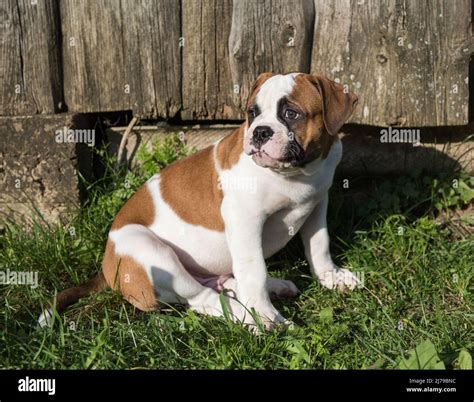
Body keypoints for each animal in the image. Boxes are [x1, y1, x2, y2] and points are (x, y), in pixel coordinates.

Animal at [39, 72, 360, 330]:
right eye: (252, 112)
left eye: (292, 114)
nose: (259, 131)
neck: (297, 173)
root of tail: (106, 267)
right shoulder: (244, 219)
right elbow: (253, 270)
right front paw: (266, 315)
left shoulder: (318, 203)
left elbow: (319, 245)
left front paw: (331, 276)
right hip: (152, 253)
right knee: (203, 299)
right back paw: (250, 316)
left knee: (221, 284)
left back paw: (273, 287)